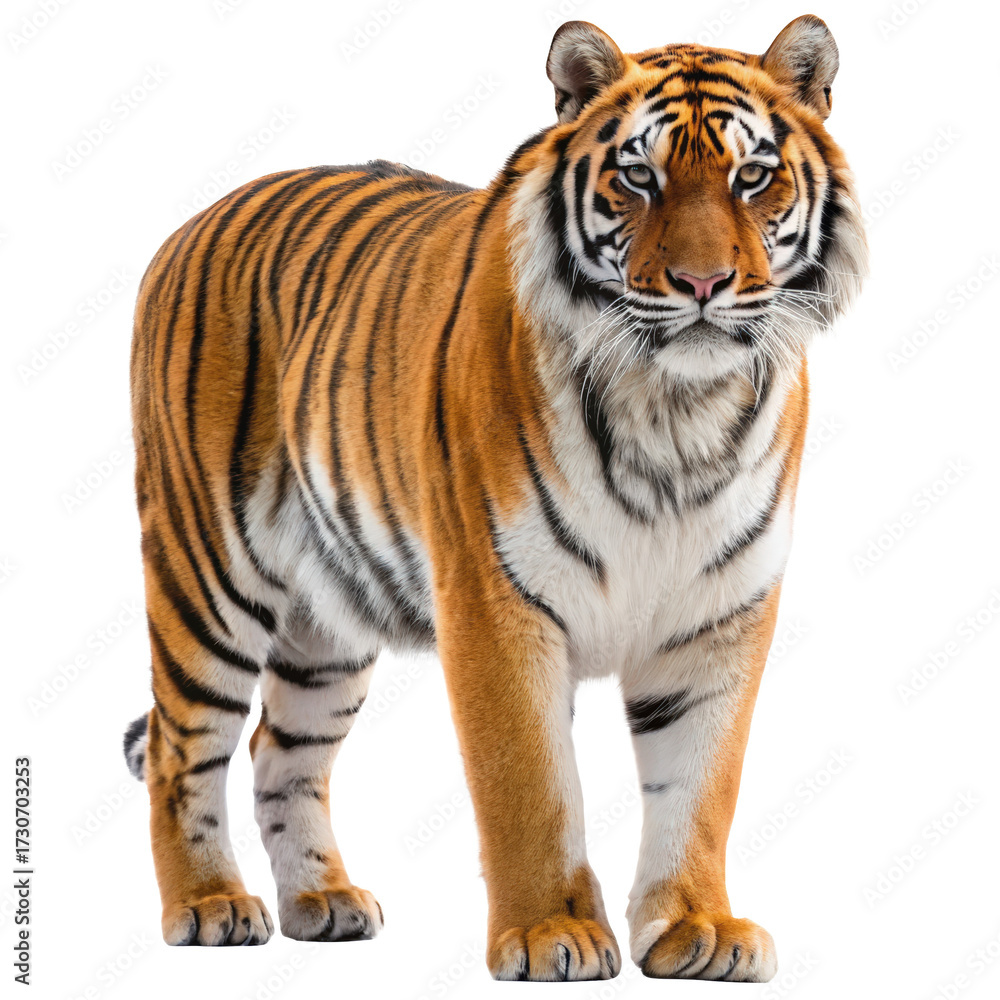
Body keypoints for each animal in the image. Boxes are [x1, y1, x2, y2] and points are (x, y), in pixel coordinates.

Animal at [122, 14, 867, 982]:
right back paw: (211, 905)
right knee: (184, 746)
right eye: (640, 177)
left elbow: (703, 782)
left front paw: (697, 927)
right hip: (206, 571)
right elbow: (529, 785)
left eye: (752, 177)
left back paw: (323, 901)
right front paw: (551, 933)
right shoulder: (494, 601)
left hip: (326, 620)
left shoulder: (719, 614)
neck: (678, 409)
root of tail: (187, 223)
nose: (703, 285)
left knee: (279, 750)